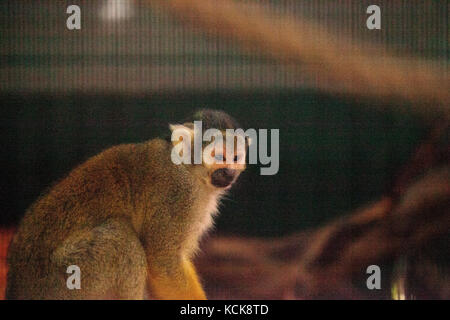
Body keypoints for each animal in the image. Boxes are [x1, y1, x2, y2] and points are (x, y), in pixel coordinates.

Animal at [5, 110, 250, 300]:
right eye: (218, 156)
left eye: (235, 158)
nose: (229, 173)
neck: (190, 171)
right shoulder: (178, 195)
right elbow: (164, 262)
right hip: (64, 281)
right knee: (120, 238)